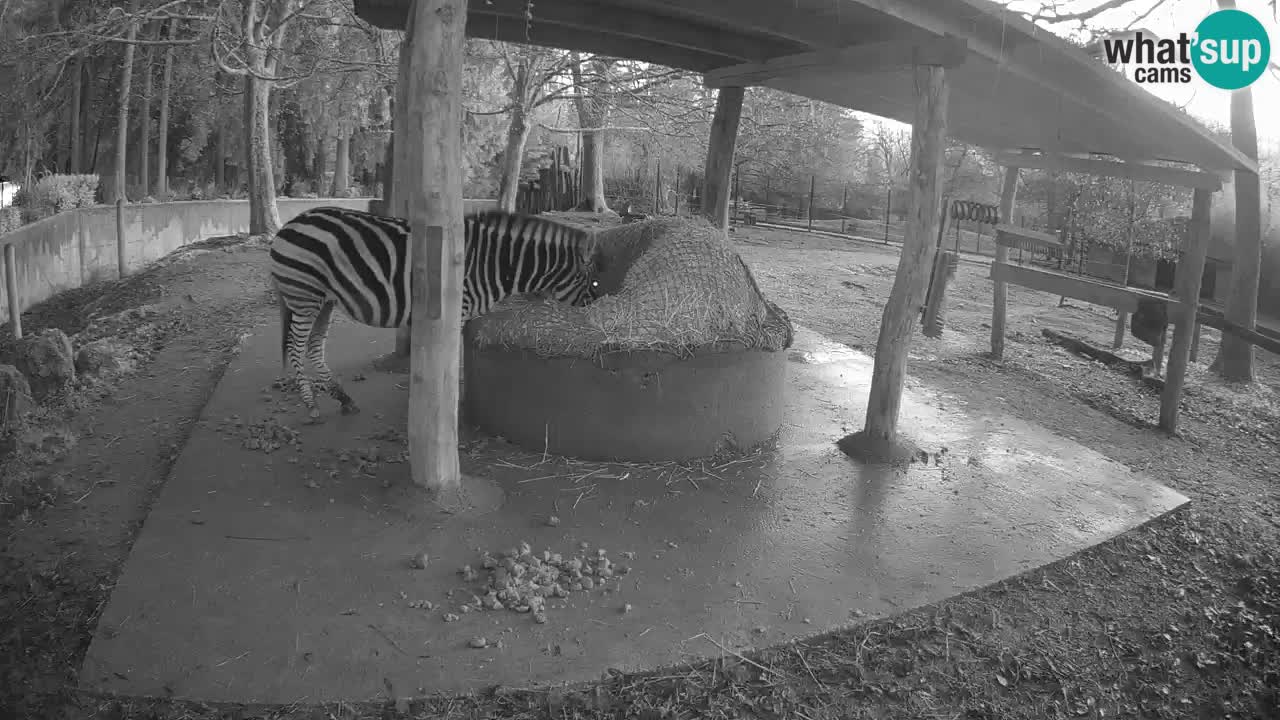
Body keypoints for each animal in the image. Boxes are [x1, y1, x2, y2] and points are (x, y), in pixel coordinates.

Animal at [268, 206, 603, 419]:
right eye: (592, 281)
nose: (593, 309)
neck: (495, 263)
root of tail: (291, 223)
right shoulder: (458, 309)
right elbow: (452, 359)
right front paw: (448, 401)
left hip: (324, 300)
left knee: (314, 347)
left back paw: (343, 398)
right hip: (304, 294)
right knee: (296, 347)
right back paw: (311, 404)